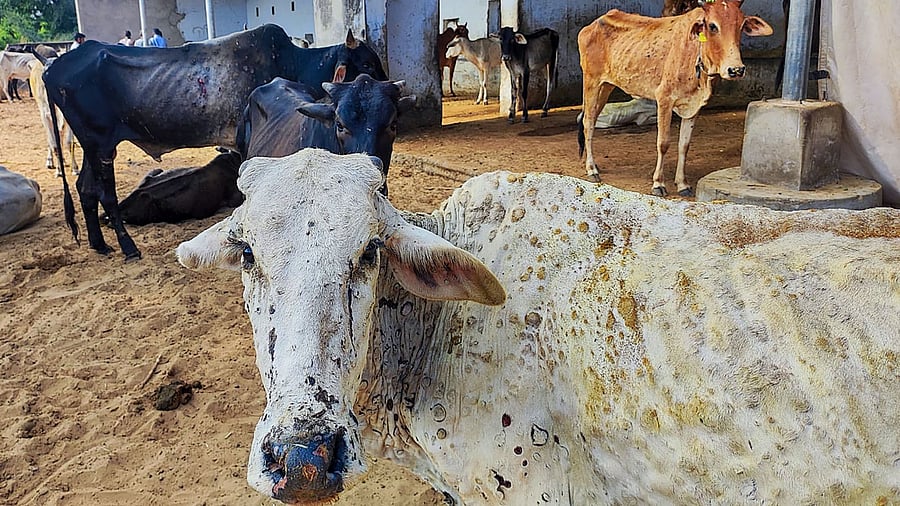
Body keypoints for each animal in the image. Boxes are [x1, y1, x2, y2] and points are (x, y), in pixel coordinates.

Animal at [40, 24, 387, 261]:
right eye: (367, 64)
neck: (294, 61)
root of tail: (52, 67)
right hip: (100, 145)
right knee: (105, 194)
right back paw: (128, 247)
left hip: (92, 146)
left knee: (85, 188)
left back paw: (99, 244)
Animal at [578, 0, 773, 197]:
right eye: (712, 26)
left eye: (741, 26)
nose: (736, 69)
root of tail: (593, 25)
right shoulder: (664, 99)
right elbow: (663, 143)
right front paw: (658, 183)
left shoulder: (693, 107)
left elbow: (684, 145)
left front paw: (682, 184)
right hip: (591, 82)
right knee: (588, 123)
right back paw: (591, 169)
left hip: (606, 86)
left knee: (591, 119)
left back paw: (594, 165)